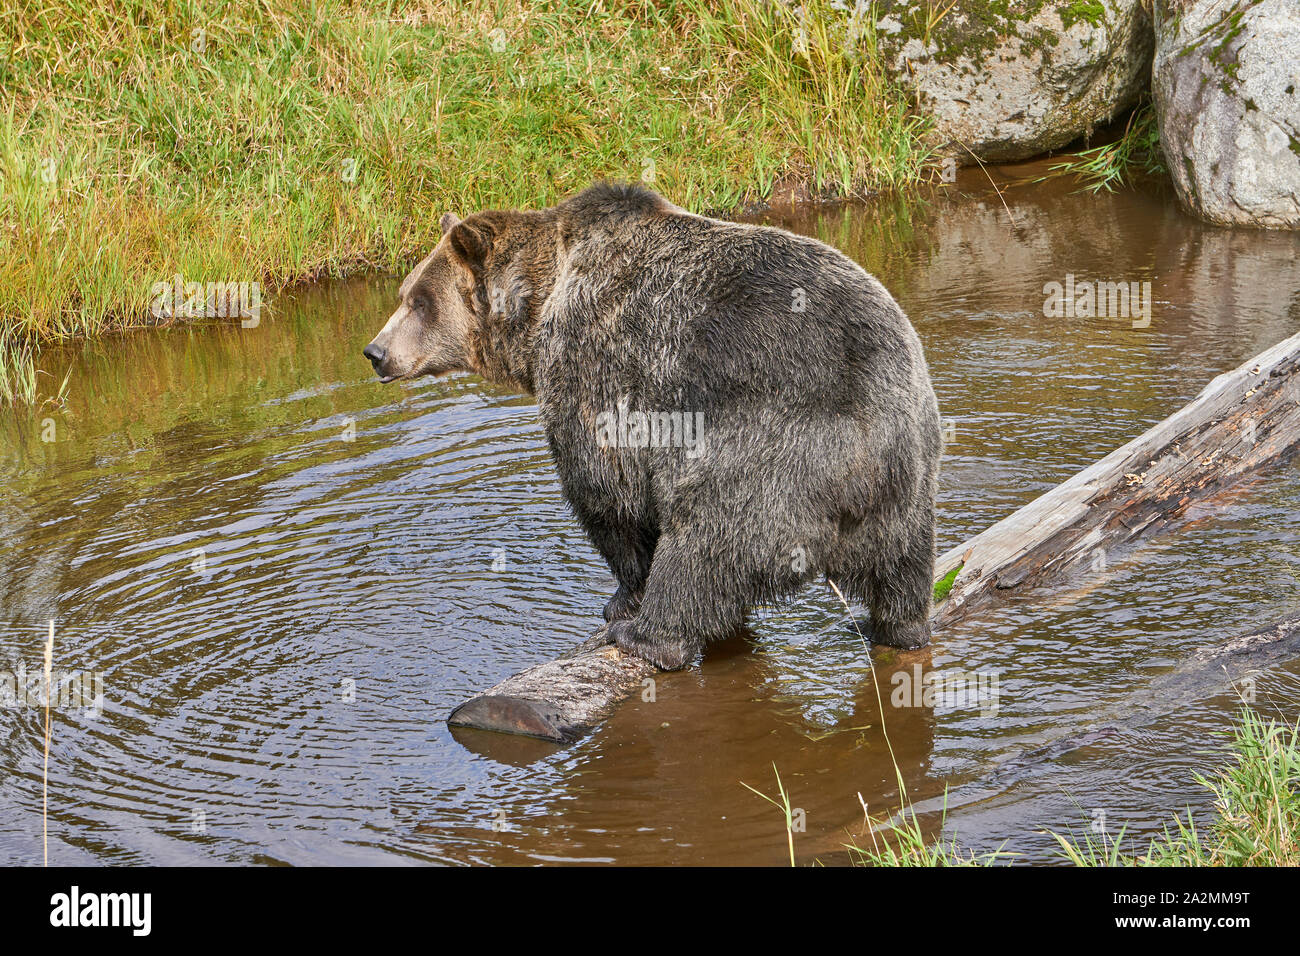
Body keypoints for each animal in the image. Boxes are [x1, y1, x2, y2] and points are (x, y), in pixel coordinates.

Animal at [363, 183, 941, 671]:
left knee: (703, 539)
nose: (375, 352)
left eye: (419, 302)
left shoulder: (596, 364)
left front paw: (621, 598)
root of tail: (865, 456)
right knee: (904, 568)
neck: (537, 308)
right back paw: (900, 627)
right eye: (404, 292)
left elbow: (607, 491)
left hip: (767, 448)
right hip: (907, 479)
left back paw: (649, 636)